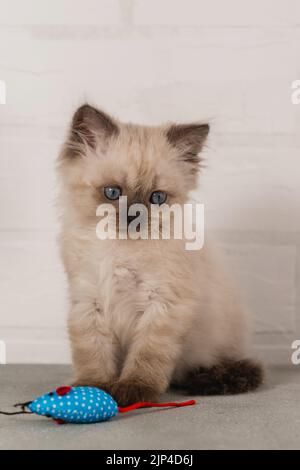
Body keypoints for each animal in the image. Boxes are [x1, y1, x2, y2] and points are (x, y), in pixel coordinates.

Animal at [57, 104, 264, 406]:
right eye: (112, 192)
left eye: (157, 198)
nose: (133, 216)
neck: (120, 250)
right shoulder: (89, 303)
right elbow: (93, 356)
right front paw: (93, 390)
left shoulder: (163, 304)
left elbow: (147, 357)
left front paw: (132, 390)